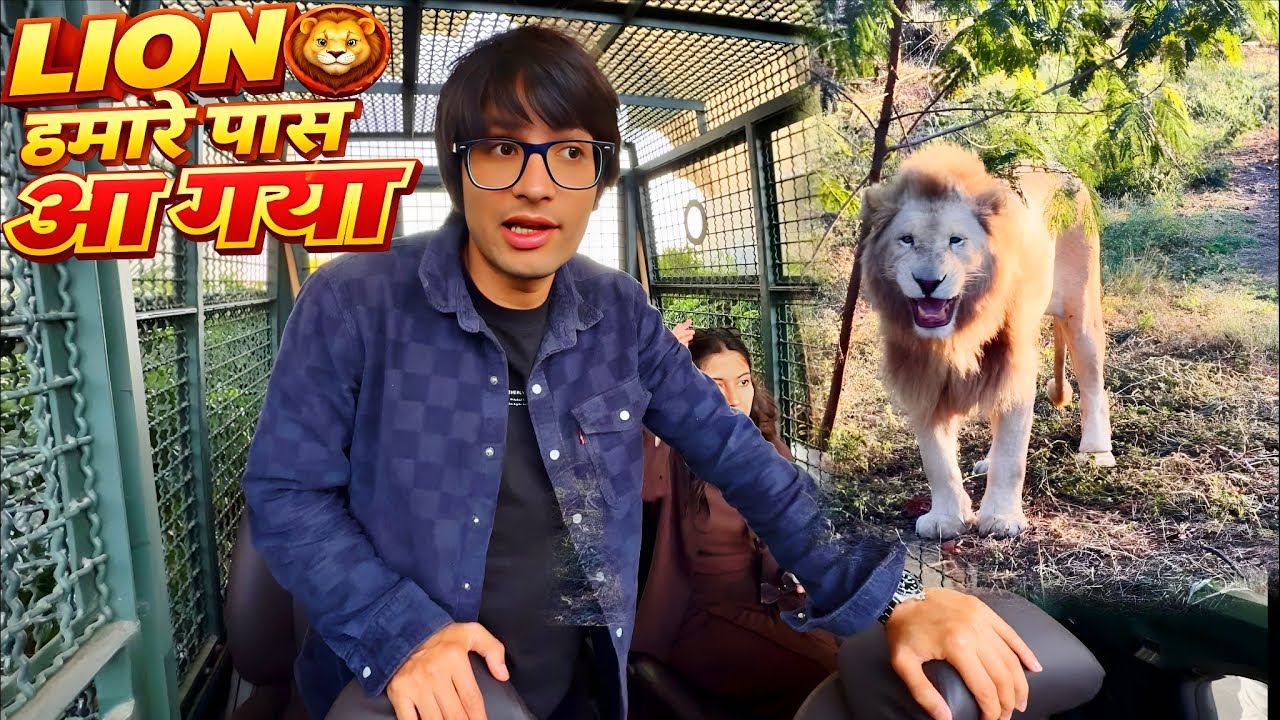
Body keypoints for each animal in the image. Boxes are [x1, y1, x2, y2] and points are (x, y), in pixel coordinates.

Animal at [858, 143, 1114, 540]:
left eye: (955, 241)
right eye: (907, 240)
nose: (928, 282)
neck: (956, 335)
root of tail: (1064, 170)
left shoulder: (1016, 365)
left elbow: (1012, 455)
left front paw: (1001, 519)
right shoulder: (921, 376)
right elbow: (937, 460)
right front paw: (946, 518)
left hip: (1081, 309)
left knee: (1093, 388)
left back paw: (1097, 453)